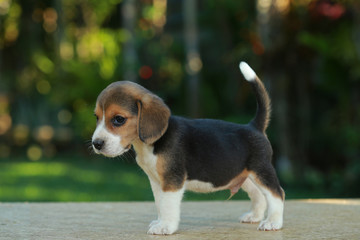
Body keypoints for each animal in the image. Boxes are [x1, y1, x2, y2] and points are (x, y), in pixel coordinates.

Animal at [92, 62, 284, 234]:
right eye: (96, 117)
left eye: (119, 119)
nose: (96, 143)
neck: (150, 144)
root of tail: (254, 126)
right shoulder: (156, 181)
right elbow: (160, 204)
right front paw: (160, 221)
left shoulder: (172, 181)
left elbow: (168, 206)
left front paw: (165, 227)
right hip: (245, 176)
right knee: (259, 195)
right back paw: (255, 216)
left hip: (261, 170)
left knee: (277, 194)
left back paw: (272, 222)